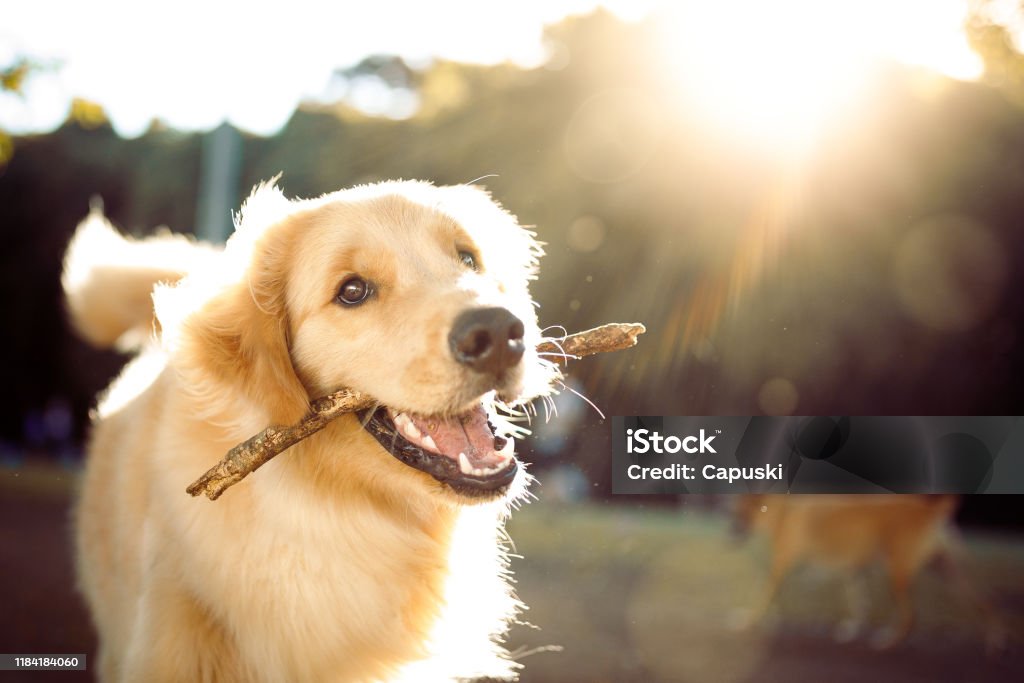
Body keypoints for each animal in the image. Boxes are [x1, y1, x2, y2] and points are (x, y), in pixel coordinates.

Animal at [733, 493, 1003, 651]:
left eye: (740, 511)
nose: (732, 527)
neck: (782, 512)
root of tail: (930, 508)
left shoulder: (782, 566)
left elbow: (763, 590)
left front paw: (750, 619)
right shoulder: (852, 572)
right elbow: (859, 603)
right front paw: (850, 630)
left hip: (897, 571)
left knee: (910, 616)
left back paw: (887, 641)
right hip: (948, 569)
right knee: (985, 601)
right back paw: (996, 640)